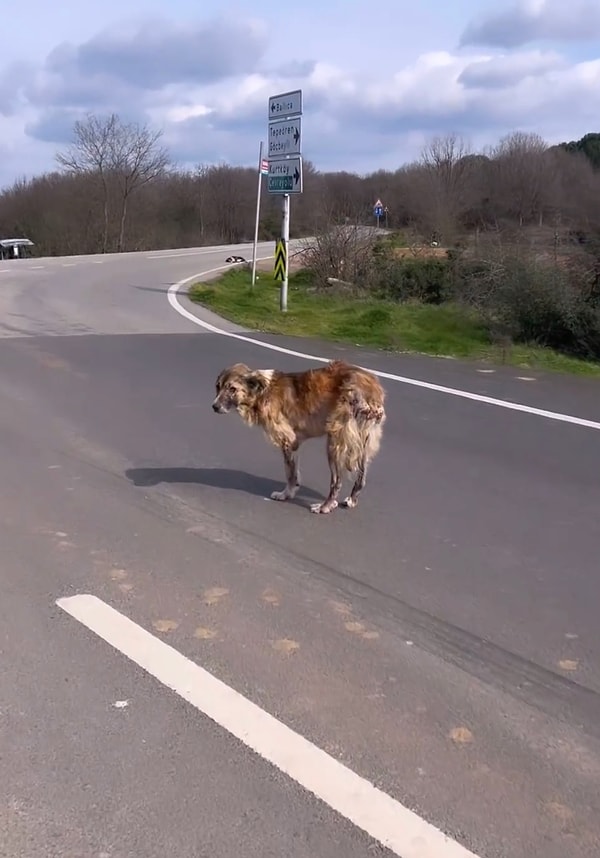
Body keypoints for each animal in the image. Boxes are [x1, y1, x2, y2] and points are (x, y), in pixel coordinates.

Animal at [213, 358, 386, 512]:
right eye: (218, 387)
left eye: (232, 389)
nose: (214, 407)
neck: (261, 392)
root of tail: (372, 388)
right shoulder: (294, 443)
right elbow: (294, 472)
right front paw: (290, 492)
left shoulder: (288, 441)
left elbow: (290, 473)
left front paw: (285, 495)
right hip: (362, 442)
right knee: (361, 479)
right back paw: (352, 500)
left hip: (334, 444)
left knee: (336, 482)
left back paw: (325, 506)